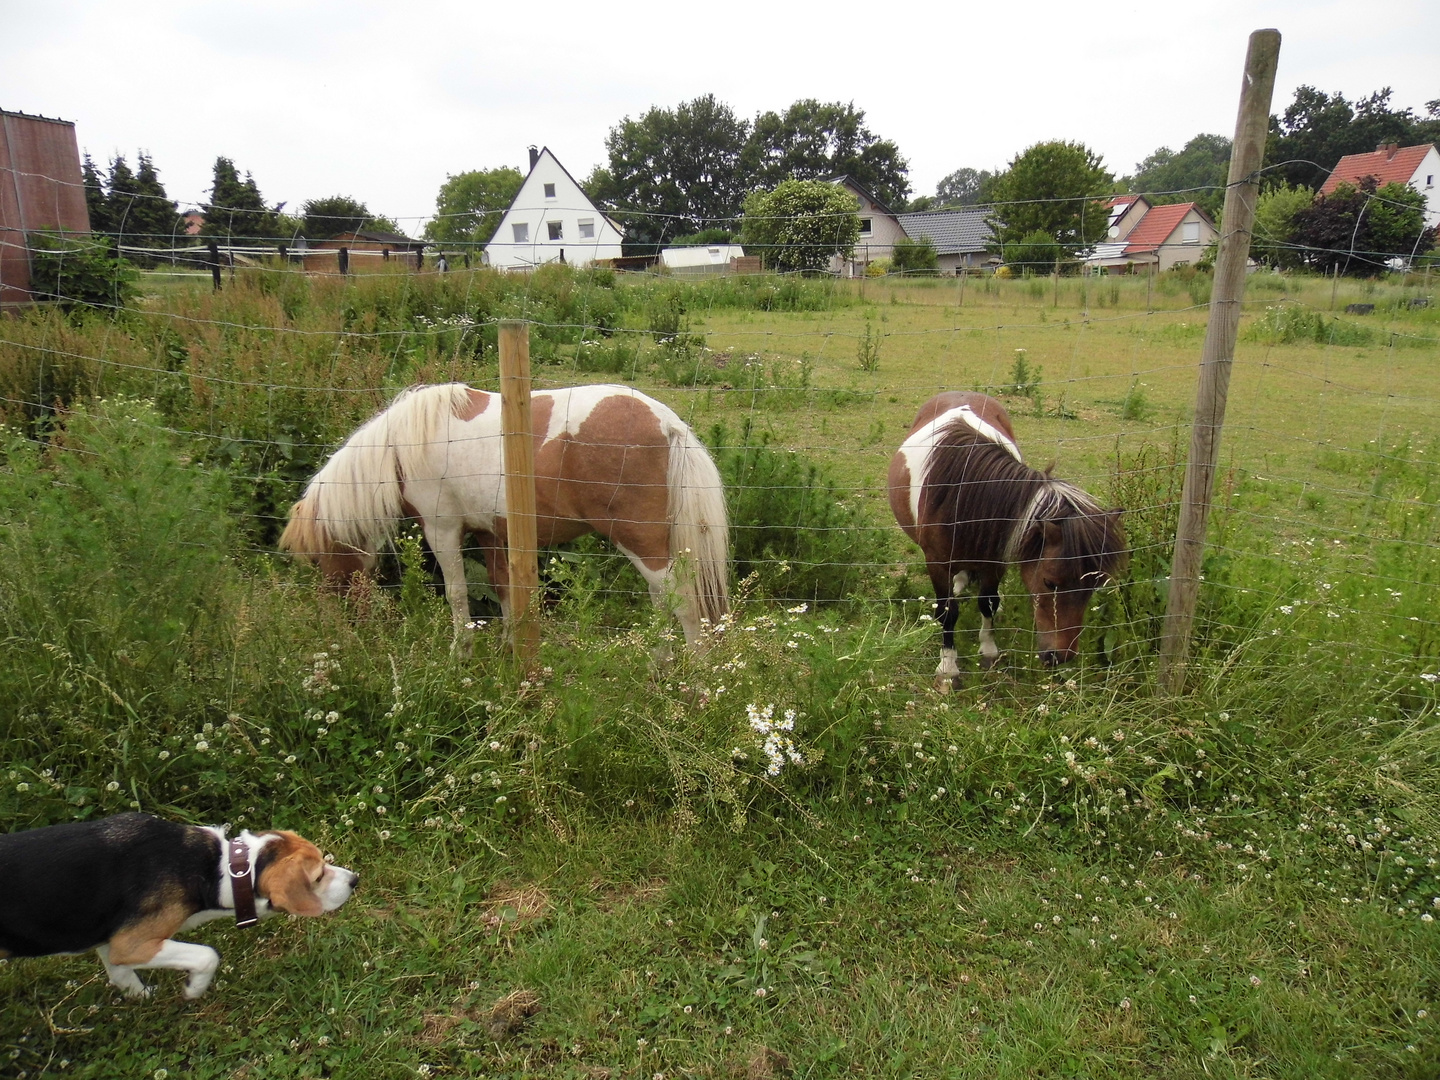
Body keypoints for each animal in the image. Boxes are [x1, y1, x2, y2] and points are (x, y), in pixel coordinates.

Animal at [0, 817, 358, 1002]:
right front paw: (193, 989)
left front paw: (142, 997)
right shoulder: (131, 942)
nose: (355, 880)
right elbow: (207, 955)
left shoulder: (110, 941)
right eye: (317, 877)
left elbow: (120, 972)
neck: (220, 868)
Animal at [280, 383, 731, 648]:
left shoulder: (442, 529)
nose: (340, 626)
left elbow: (457, 594)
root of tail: (667, 423)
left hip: (641, 541)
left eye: (318, 558)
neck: (402, 448)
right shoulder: (490, 532)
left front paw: (461, 654)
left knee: (684, 604)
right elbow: (504, 591)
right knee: (662, 602)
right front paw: (510, 652)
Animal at [887, 394, 1123, 688]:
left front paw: (989, 650)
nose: (1061, 656)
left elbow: (988, 601)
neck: (962, 494)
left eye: (1094, 585)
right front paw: (948, 667)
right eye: (1049, 582)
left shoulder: (995, 559)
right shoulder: (937, 562)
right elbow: (947, 611)